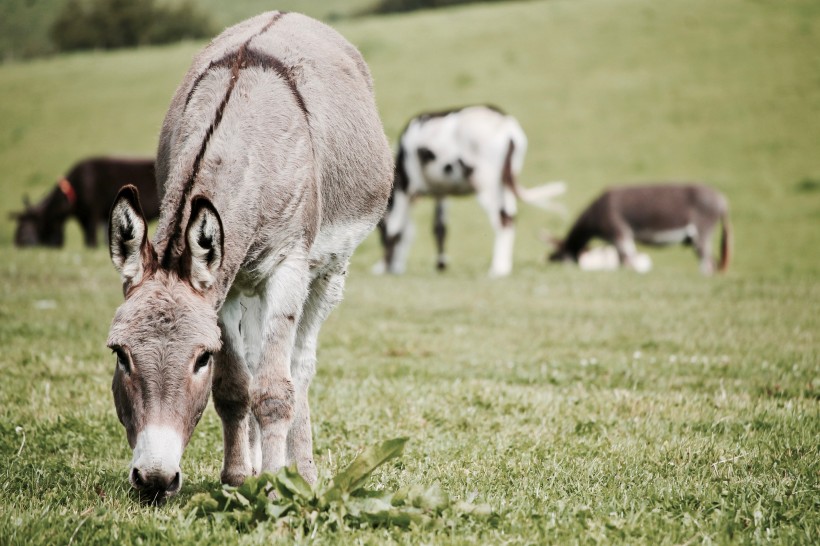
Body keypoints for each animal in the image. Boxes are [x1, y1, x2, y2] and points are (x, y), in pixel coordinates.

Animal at [11, 156, 159, 248]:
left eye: (23, 228)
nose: (17, 244)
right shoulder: (84, 218)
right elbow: (87, 241)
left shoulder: (93, 214)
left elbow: (92, 241)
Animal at [376, 104, 564, 278]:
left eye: (379, 229)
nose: (394, 267)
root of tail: (505, 124)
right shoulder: (441, 191)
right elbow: (439, 228)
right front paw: (441, 264)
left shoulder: (405, 186)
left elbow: (395, 229)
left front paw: (383, 267)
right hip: (505, 183)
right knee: (510, 217)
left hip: (486, 183)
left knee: (502, 219)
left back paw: (498, 268)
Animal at [552, 183, 732, 274]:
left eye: (558, 256)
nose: (549, 263)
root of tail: (722, 201)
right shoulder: (618, 238)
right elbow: (623, 259)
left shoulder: (620, 232)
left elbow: (627, 259)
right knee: (711, 262)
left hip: (701, 233)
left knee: (708, 263)